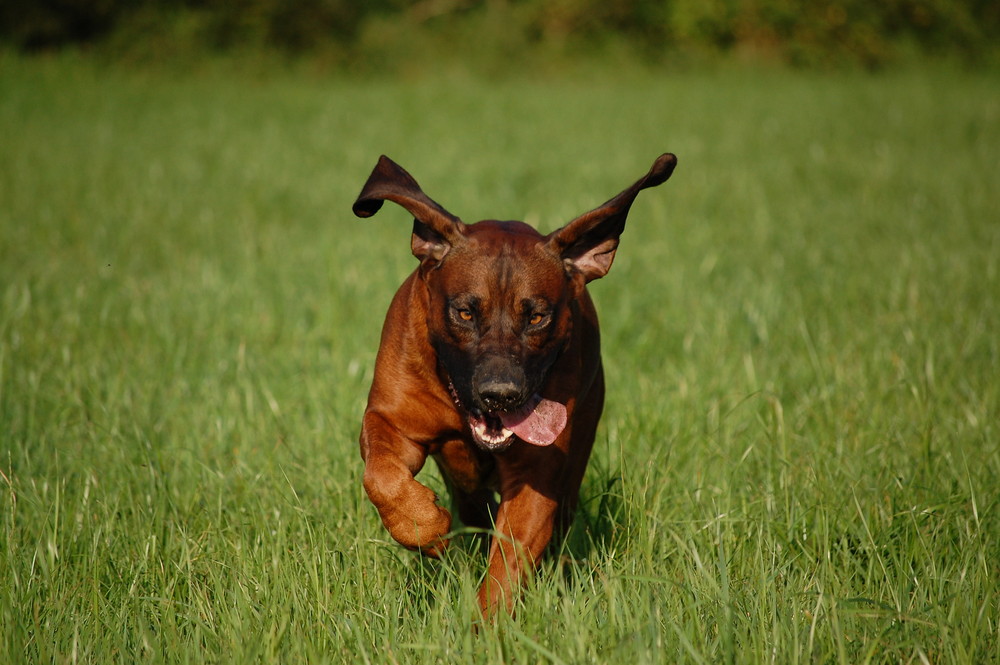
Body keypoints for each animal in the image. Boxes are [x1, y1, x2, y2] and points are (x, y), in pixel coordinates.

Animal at [354, 153, 680, 616]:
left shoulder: (535, 474)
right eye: (465, 312)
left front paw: (485, 626)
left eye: (537, 317)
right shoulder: (389, 420)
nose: (501, 395)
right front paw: (424, 526)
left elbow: (509, 562)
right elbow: (382, 478)